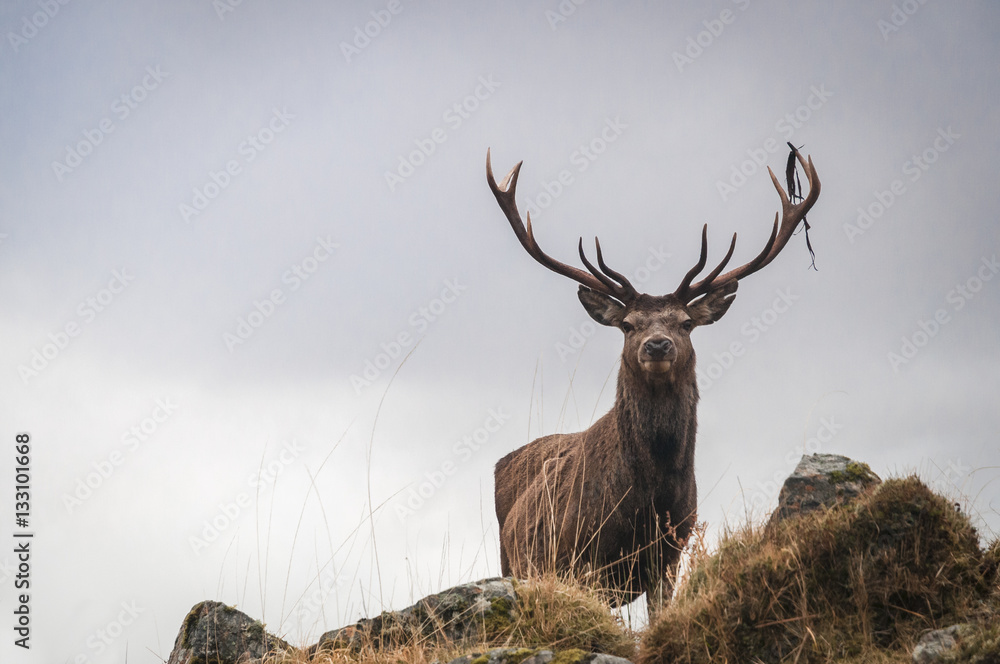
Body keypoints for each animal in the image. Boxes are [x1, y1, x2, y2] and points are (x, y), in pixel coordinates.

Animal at [486, 147, 820, 611]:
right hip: (513, 563)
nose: (657, 345)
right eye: (628, 325)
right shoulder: (582, 557)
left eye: (686, 323)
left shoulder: (671, 550)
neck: (648, 499)